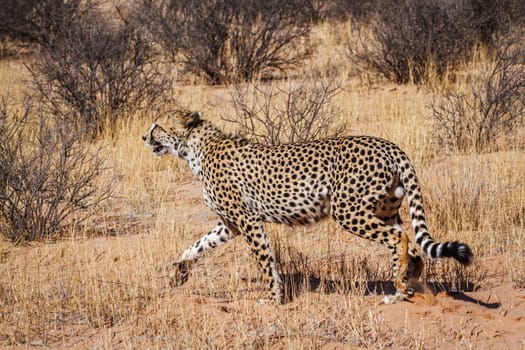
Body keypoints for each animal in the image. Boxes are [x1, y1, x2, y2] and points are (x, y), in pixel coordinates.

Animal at [141, 109, 472, 304]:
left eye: (157, 126)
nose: (144, 136)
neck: (195, 150)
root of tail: (390, 145)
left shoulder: (248, 220)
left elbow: (265, 261)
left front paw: (273, 299)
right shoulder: (230, 224)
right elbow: (197, 245)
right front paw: (180, 271)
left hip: (347, 210)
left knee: (400, 239)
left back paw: (400, 286)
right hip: (384, 209)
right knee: (413, 249)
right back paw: (404, 285)